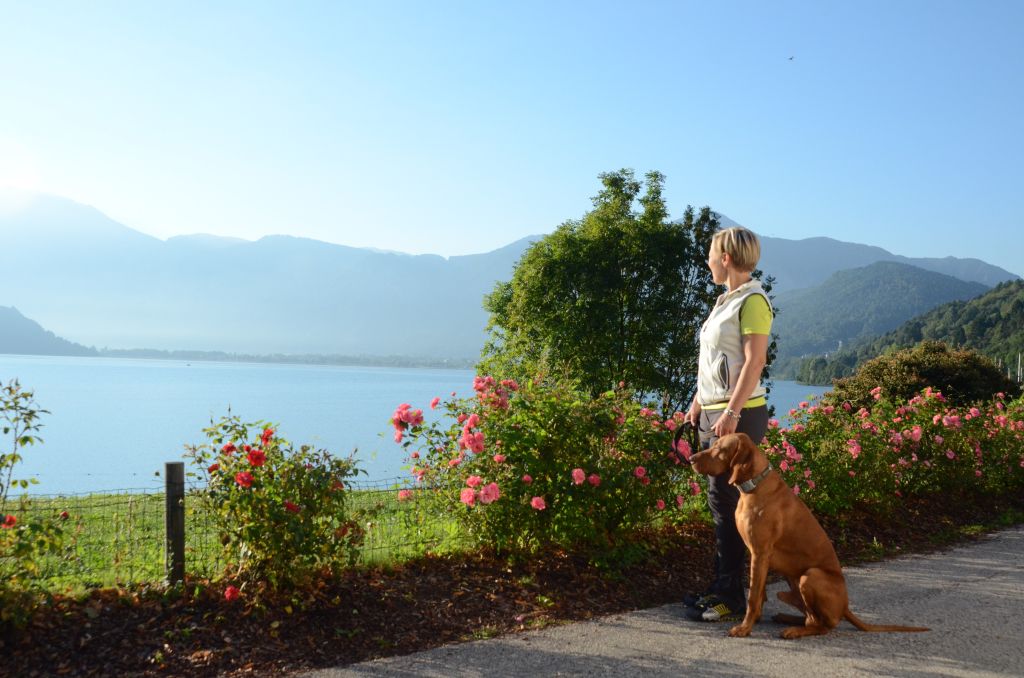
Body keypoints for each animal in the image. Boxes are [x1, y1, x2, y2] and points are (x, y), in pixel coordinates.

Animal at [688, 432, 929, 639]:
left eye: (719, 449)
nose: (690, 458)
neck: (754, 486)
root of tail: (845, 608)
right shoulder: (756, 555)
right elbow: (760, 594)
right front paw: (754, 622)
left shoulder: (760, 553)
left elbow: (753, 596)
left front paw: (744, 628)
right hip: (791, 585)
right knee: (811, 618)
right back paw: (787, 619)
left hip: (810, 576)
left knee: (822, 625)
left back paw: (794, 630)